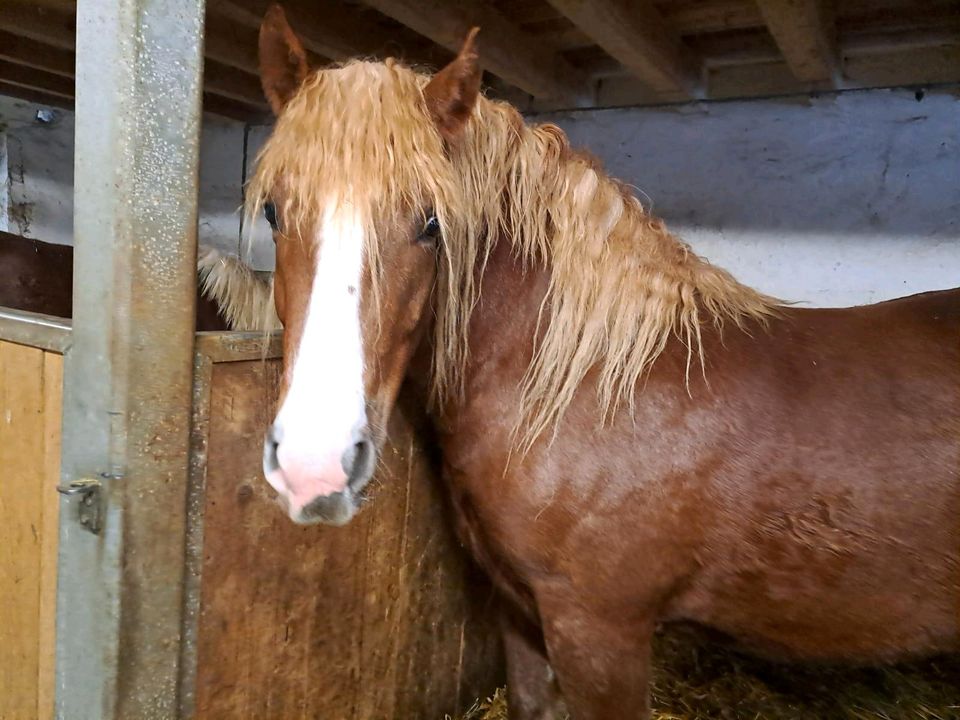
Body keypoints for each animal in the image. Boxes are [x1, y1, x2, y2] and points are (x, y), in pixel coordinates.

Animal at [249, 8, 960, 716]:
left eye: (431, 223)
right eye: (274, 211)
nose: (315, 464)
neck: (583, 392)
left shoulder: (599, 631)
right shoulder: (520, 609)